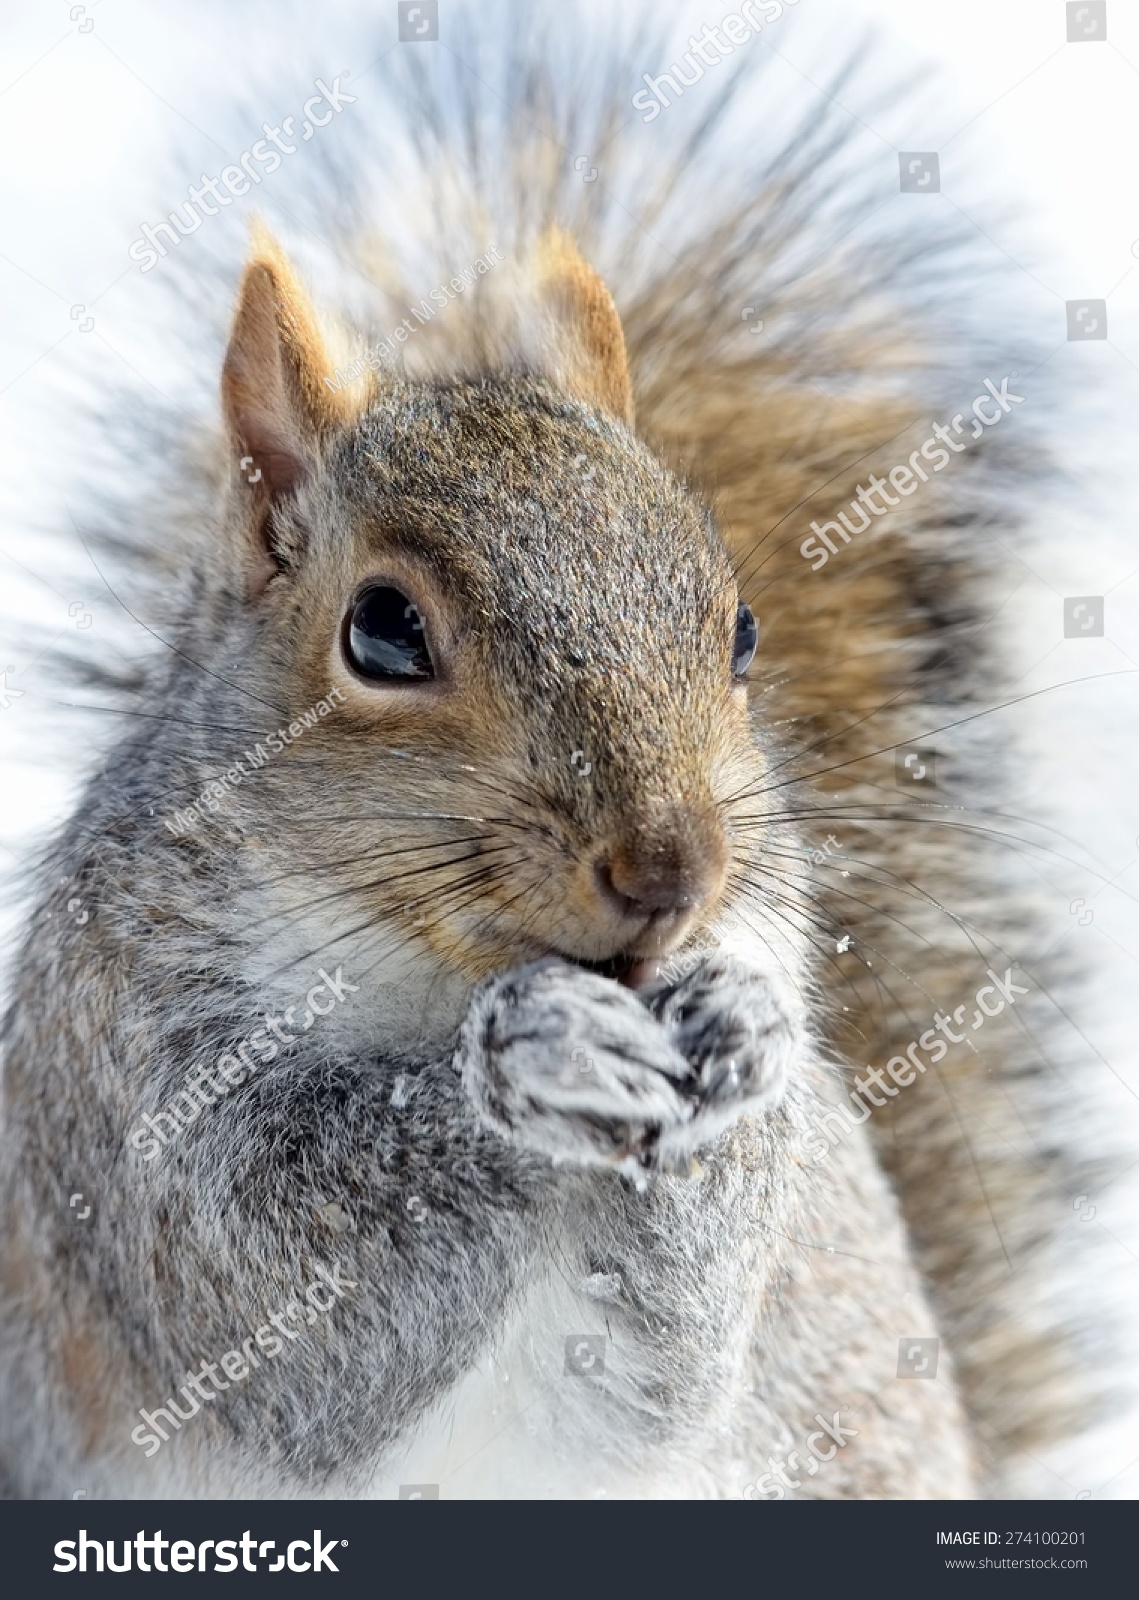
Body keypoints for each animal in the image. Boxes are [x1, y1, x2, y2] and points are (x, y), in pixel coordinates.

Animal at [0, 0, 1094, 1497]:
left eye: (740, 628)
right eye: (382, 631)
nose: (669, 871)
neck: (422, 974)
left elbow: (668, 1371)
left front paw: (740, 1036)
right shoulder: (120, 1073)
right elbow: (261, 1285)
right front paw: (526, 1060)